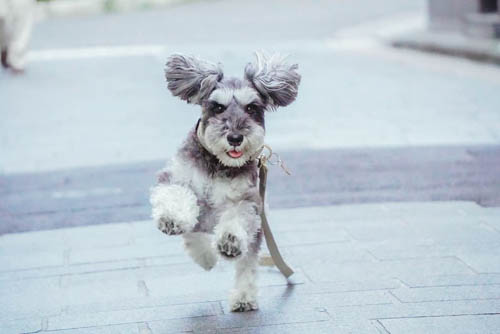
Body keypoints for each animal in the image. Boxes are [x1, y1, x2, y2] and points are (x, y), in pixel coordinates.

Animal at [149, 51, 300, 310]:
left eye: (252, 107)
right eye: (218, 107)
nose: (236, 137)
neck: (218, 163)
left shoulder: (248, 201)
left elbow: (236, 218)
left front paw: (229, 241)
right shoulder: (176, 178)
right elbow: (178, 199)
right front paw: (172, 220)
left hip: (257, 232)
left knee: (247, 264)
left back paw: (244, 297)